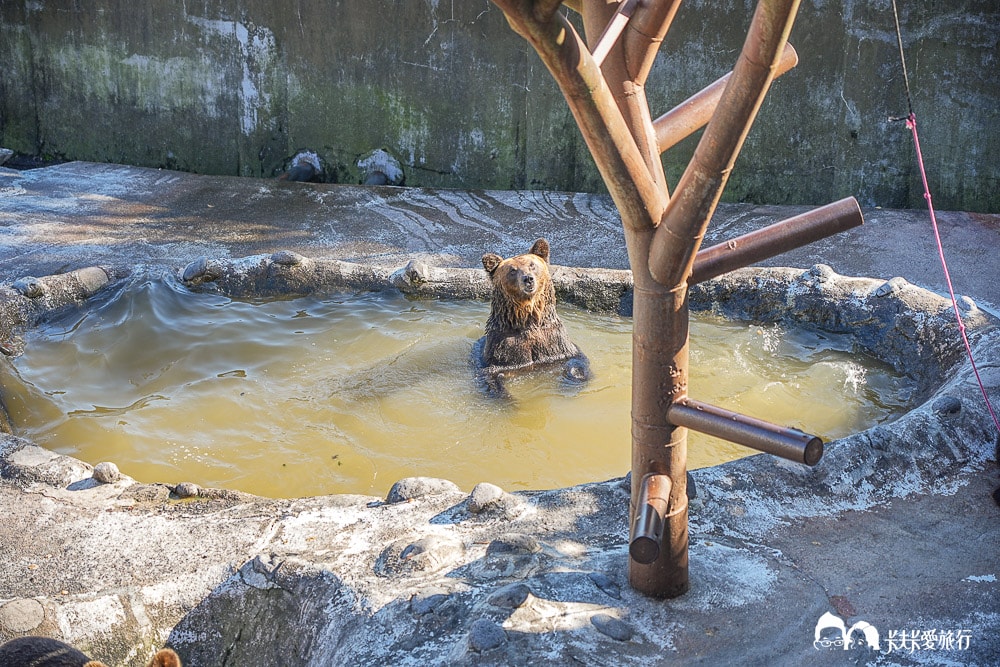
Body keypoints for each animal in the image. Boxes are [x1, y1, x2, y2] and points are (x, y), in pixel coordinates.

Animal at [473, 238, 590, 396]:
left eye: (532, 265)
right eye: (512, 270)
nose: (528, 278)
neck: (528, 318)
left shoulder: (555, 343)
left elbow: (576, 360)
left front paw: (575, 377)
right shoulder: (502, 348)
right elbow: (491, 375)